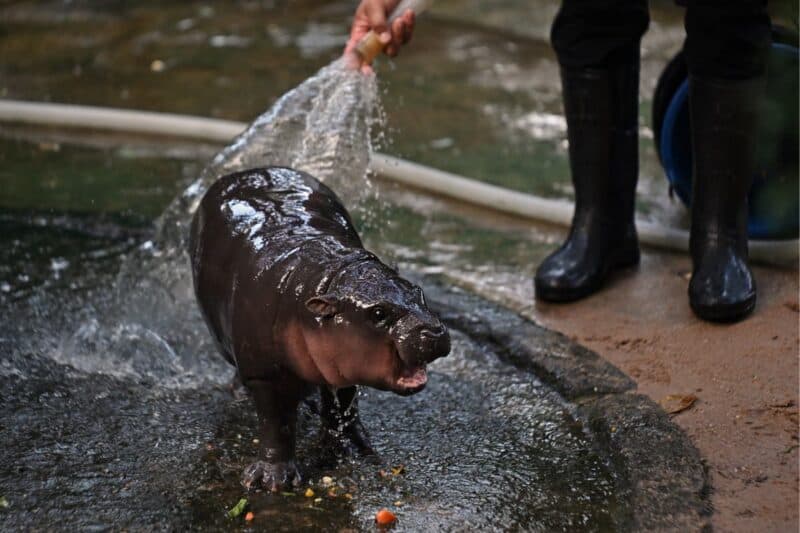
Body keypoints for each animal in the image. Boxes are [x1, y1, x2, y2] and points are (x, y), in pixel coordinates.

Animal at [188, 166, 450, 490]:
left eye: (418, 291)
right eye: (378, 313)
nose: (434, 331)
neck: (326, 278)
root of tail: (247, 171)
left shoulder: (344, 363)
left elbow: (345, 404)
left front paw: (353, 448)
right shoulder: (265, 374)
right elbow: (277, 423)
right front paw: (274, 480)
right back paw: (240, 393)